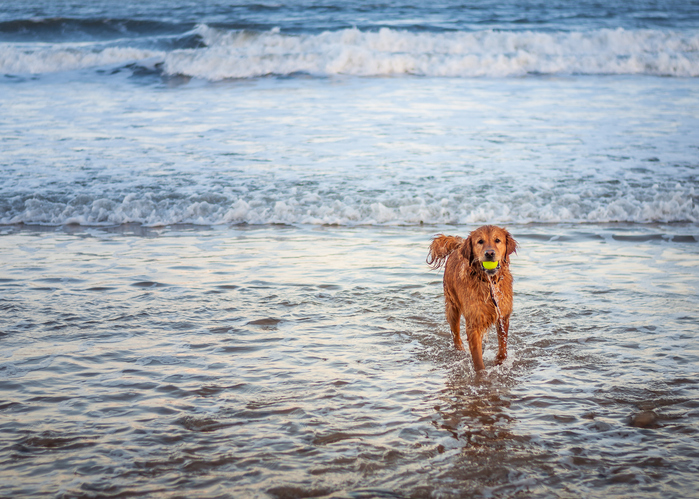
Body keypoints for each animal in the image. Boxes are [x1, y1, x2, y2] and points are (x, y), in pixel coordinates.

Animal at [426, 227, 520, 372]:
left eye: (497, 240)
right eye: (480, 241)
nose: (489, 253)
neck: (488, 282)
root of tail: (459, 246)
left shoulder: (503, 315)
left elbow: (503, 347)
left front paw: (500, 361)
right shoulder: (474, 321)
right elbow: (477, 357)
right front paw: (481, 374)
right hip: (452, 307)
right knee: (455, 334)